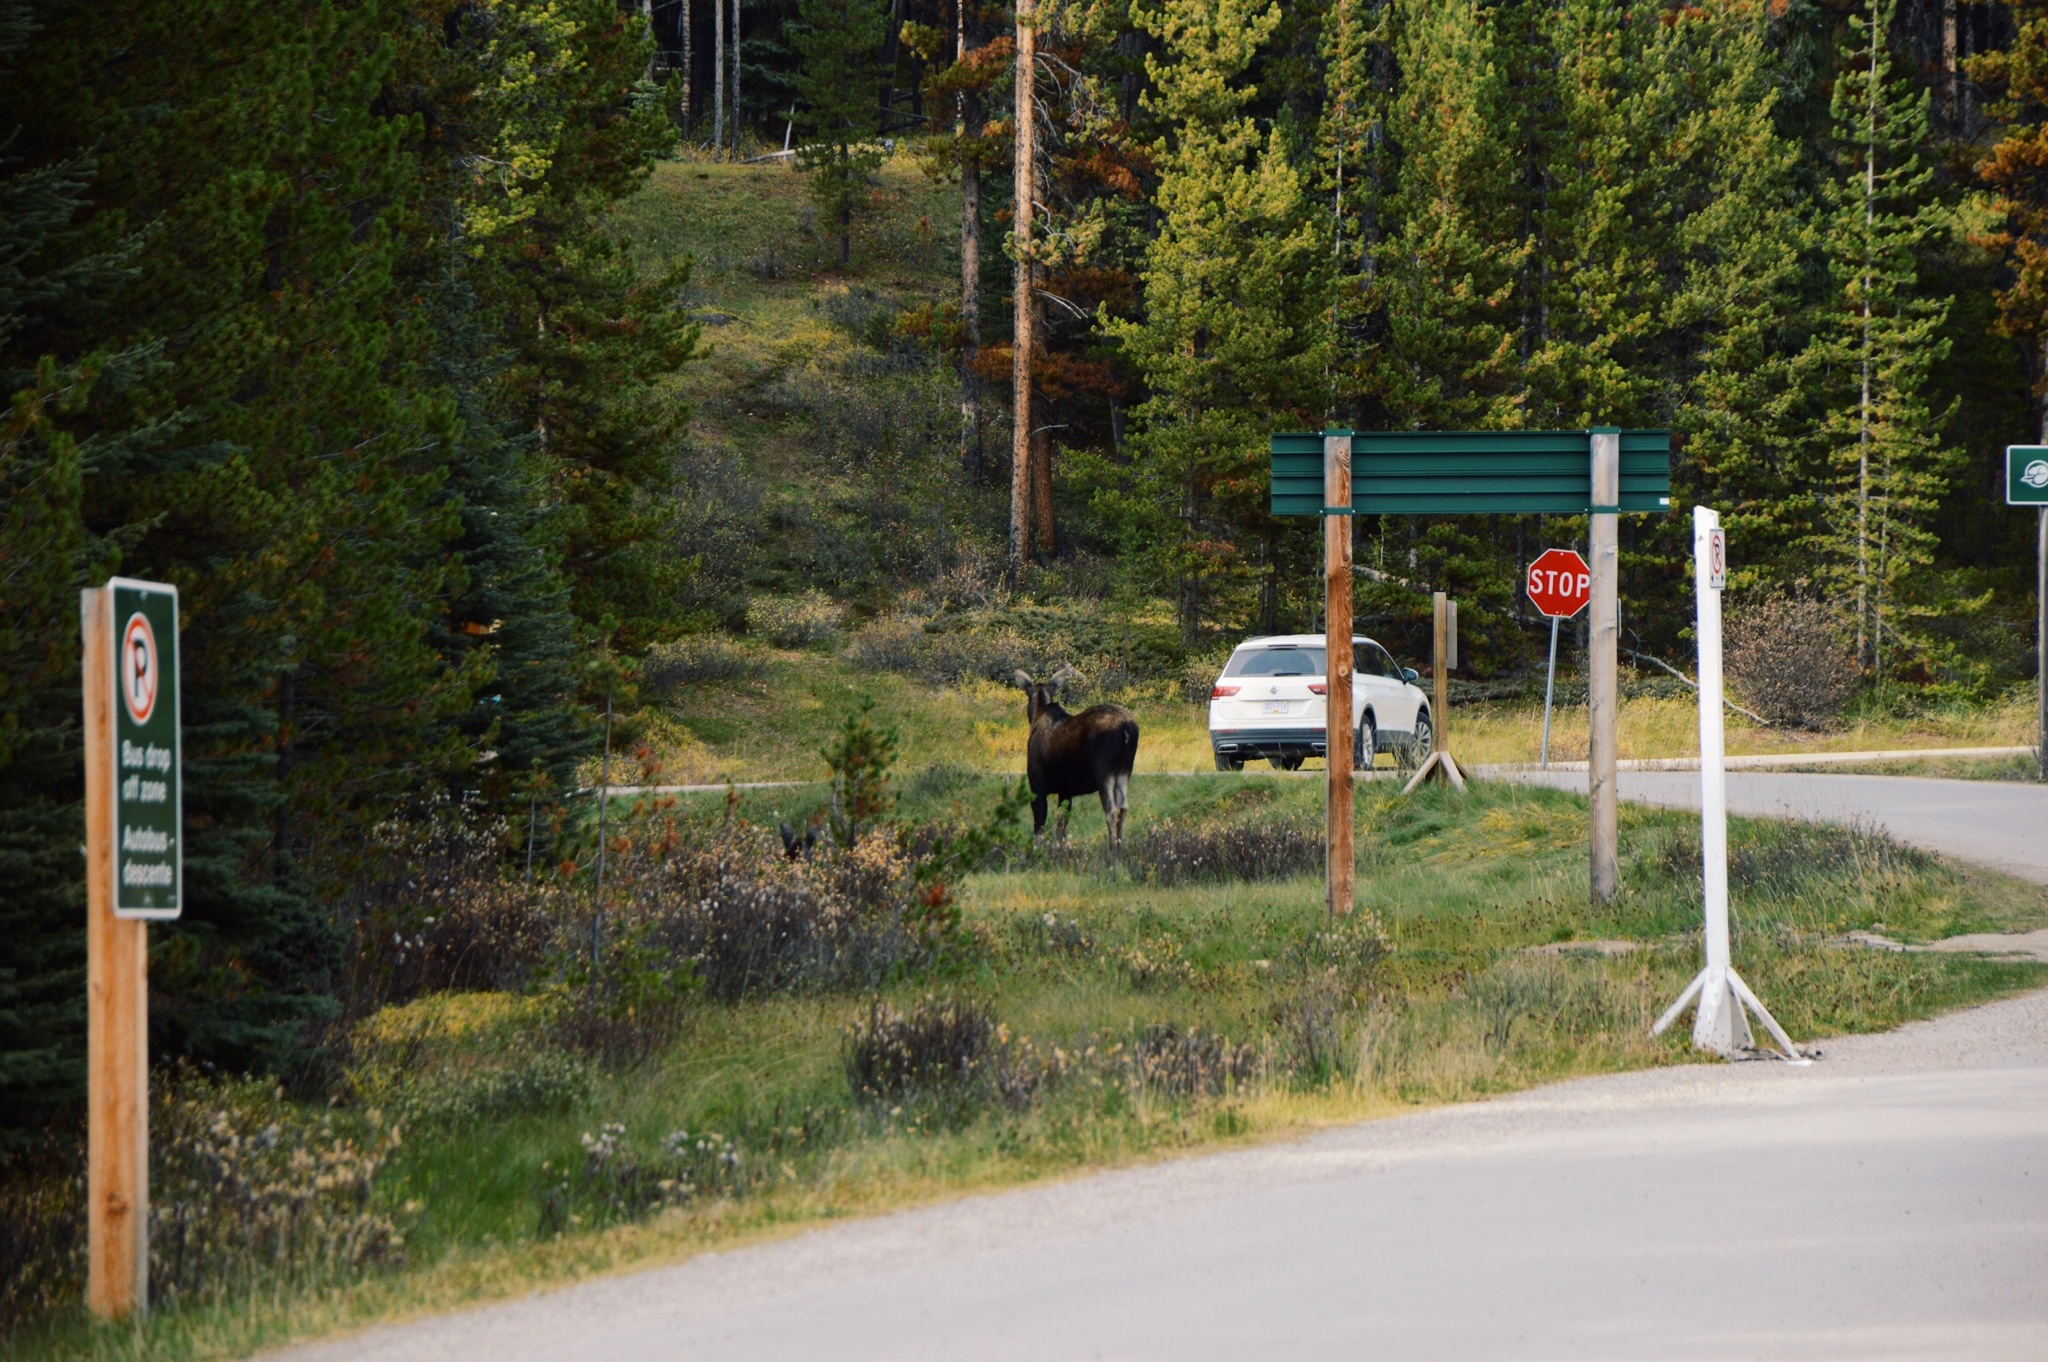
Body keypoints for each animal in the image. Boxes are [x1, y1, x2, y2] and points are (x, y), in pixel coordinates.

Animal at [1015, 663, 1146, 843]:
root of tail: (1127, 728)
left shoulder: (1037, 787)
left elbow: (1039, 831)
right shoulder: (1066, 791)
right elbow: (1061, 828)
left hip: (1104, 771)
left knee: (1111, 811)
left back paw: (1112, 849)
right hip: (1124, 771)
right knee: (1123, 808)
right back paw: (1121, 846)